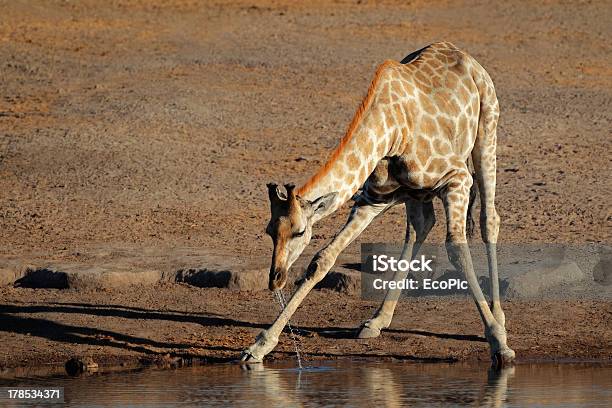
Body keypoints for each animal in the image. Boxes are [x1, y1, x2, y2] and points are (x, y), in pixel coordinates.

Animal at [241, 41, 512, 366]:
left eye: (299, 232)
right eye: (269, 231)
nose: (275, 279)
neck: (392, 132)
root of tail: (464, 55)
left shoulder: (456, 178)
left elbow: (457, 250)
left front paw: (498, 342)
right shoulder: (372, 199)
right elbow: (322, 259)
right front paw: (259, 345)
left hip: (486, 133)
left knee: (489, 220)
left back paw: (500, 318)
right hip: (413, 194)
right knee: (421, 227)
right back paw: (377, 320)